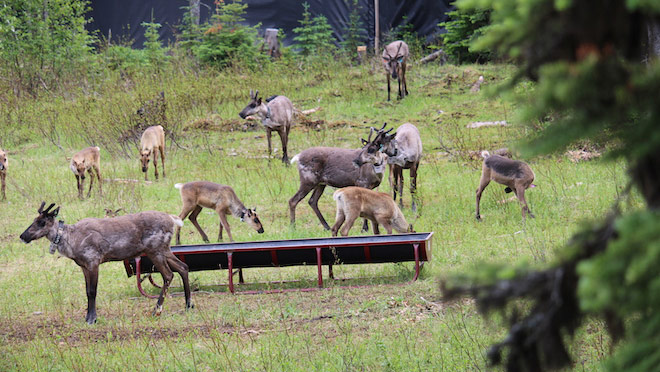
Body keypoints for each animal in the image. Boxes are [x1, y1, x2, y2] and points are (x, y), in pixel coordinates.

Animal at [20, 202, 191, 324]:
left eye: (42, 222)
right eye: (34, 220)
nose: (23, 236)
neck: (71, 241)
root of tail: (172, 219)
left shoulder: (93, 261)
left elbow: (92, 291)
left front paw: (92, 319)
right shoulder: (83, 266)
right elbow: (87, 291)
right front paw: (87, 317)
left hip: (155, 250)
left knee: (168, 275)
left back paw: (157, 310)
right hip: (164, 250)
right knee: (183, 267)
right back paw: (188, 305)